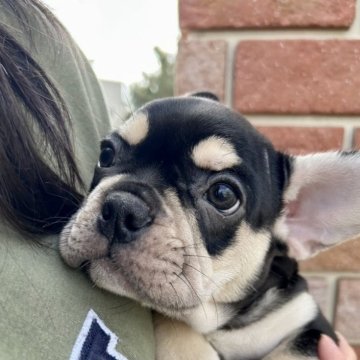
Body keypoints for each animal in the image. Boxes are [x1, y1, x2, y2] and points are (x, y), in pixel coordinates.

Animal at [59, 93, 360, 360]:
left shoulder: (310, 324)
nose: (122, 207)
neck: (220, 321)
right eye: (106, 154)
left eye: (222, 195)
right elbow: (173, 320)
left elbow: (295, 351)